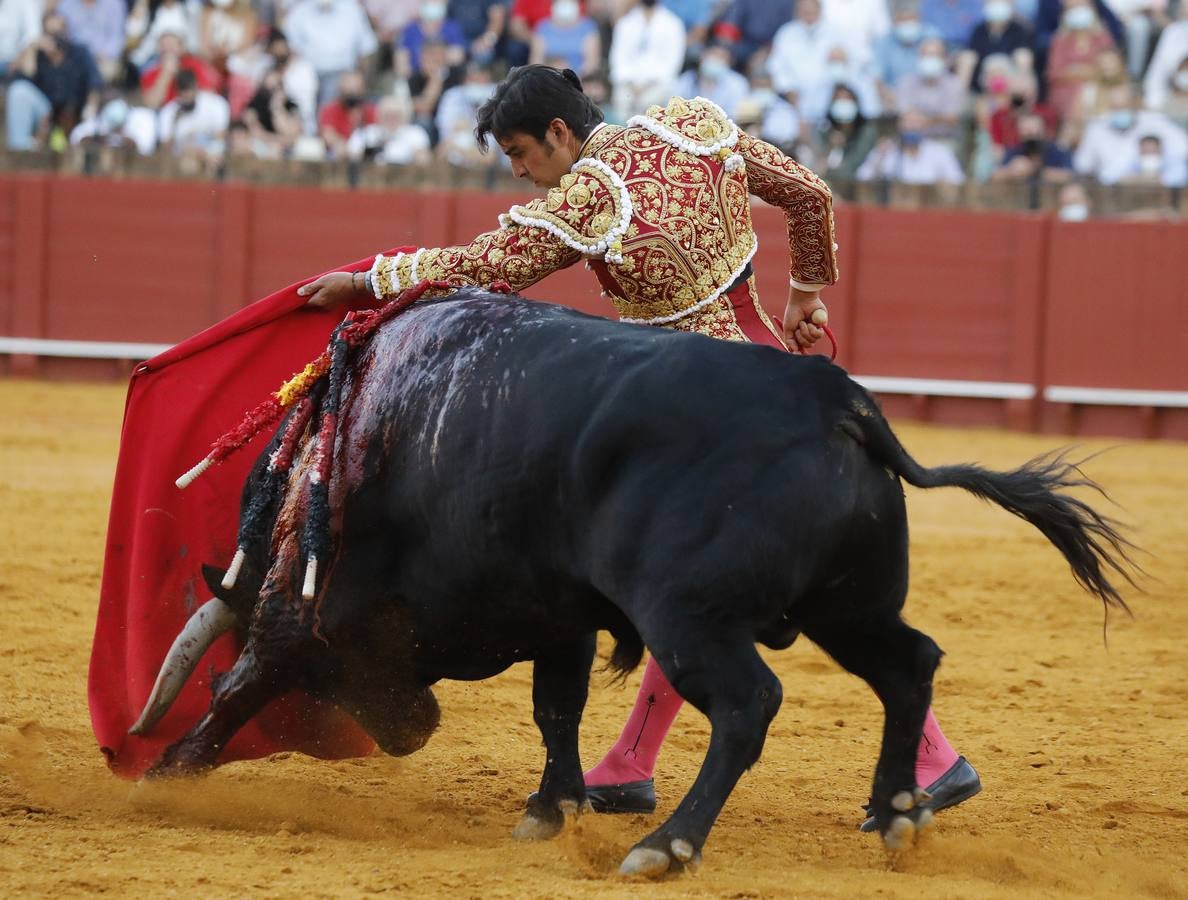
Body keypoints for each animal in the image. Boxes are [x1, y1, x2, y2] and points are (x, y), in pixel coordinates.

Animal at [134, 290, 1126, 883]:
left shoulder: (307, 603)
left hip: (692, 614)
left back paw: (666, 845)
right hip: (846, 605)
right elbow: (557, 706)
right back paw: (896, 813)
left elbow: (248, 674)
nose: (411, 731)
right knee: (908, 665)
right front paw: (552, 809)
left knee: (749, 703)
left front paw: (169, 770)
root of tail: (837, 404)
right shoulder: (557, 611)